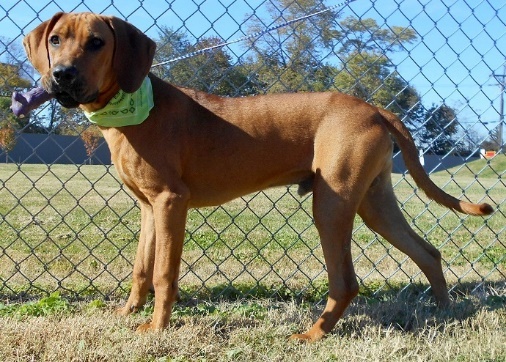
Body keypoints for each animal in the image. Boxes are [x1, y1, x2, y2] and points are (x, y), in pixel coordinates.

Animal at [21, 12, 492, 340]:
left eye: (97, 43)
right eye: (56, 40)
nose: (61, 75)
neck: (133, 108)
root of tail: (374, 108)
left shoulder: (171, 203)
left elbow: (163, 274)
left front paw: (156, 328)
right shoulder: (148, 208)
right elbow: (140, 268)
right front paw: (128, 312)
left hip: (332, 204)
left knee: (346, 282)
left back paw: (313, 334)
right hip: (374, 204)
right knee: (427, 252)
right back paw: (446, 313)